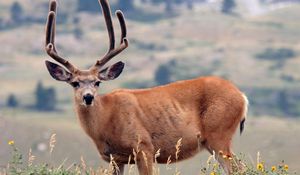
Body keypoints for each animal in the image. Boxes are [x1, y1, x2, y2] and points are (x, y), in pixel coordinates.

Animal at [44, 0, 248, 174]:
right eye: (74, 83)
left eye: (97, 82)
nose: (88, 97)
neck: (107, 119)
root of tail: (242, 96)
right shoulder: (115, 158)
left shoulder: (144, 147)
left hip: (219, 133)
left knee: (237, 168)